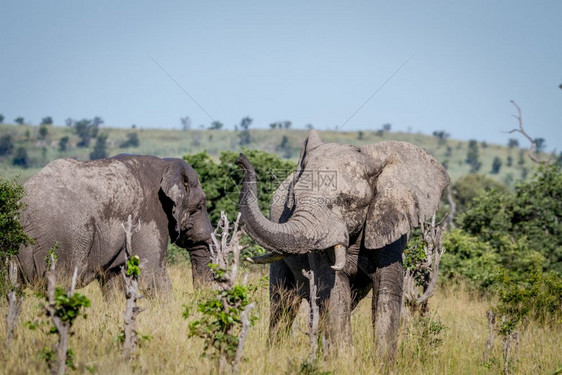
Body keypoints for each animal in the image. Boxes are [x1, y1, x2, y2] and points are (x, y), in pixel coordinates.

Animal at [16, 154, 212, 296]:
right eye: (200, 206)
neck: (166, 163)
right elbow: (152, 275)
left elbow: (114, 283)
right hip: (61, 241)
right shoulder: (149, 217)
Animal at [234, 130, 448, 362]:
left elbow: (387, 290)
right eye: (295, 199)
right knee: (283, 301)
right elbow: (334, 289)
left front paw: (381, 363)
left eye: (348, 201)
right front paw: (345, 361)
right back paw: (276, 353)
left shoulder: (389, 226)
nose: (239, 159)